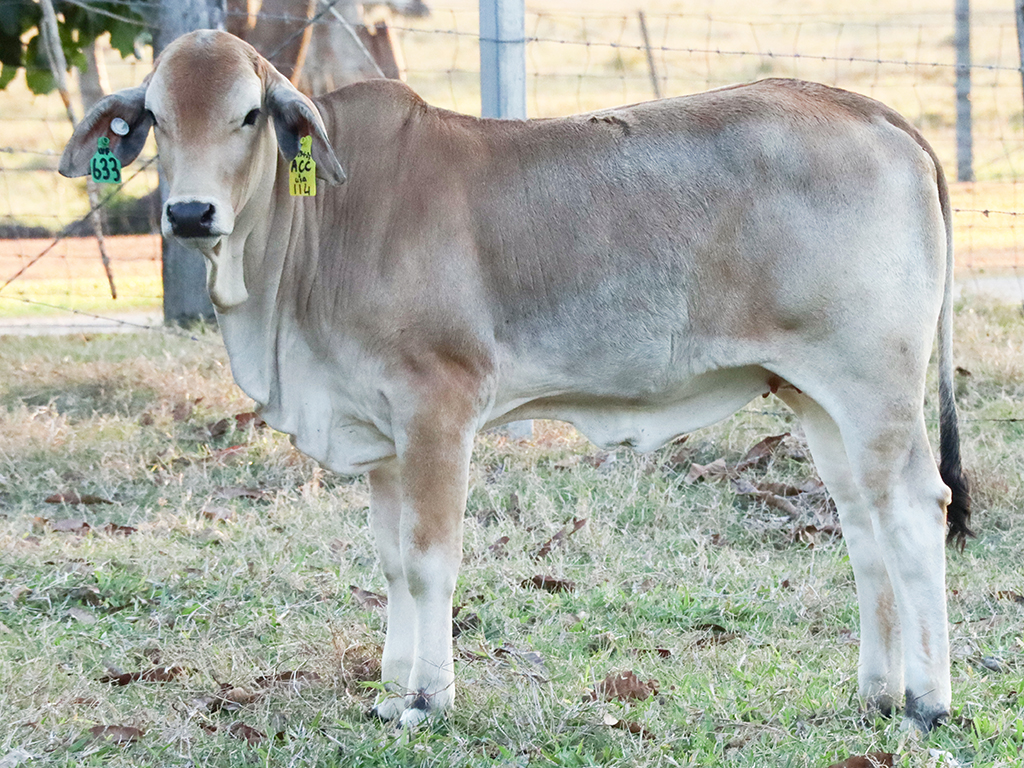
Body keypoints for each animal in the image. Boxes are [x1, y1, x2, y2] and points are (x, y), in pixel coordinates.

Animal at [59, 30, 971, 731]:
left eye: (249, 113)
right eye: (157, 117)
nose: (189, 213)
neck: (316, 232)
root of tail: (880, 115)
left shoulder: (437, 409)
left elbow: (430, 560)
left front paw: (428, 699)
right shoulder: (382, 438)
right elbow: (391, 562)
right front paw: (390, 688)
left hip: (875, 388)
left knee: (916, 512)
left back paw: (928, 702)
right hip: (818, 399)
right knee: (863, 527)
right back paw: (875, 694)